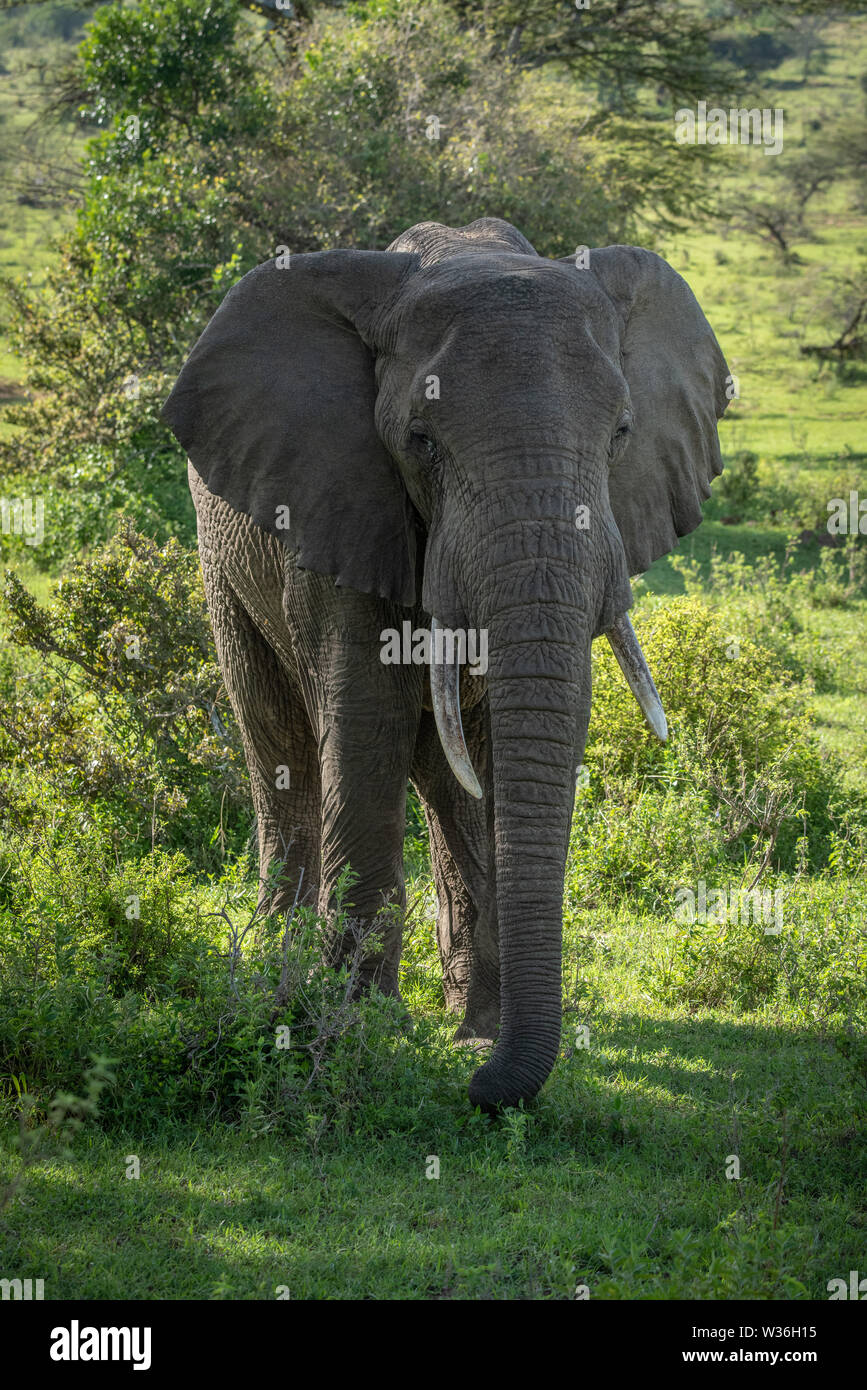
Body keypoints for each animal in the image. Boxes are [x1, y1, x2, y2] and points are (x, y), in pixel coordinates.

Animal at [162, 217, 730, 1112]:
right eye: (419, 443)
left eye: (621, 434)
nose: (481, 1093)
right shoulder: (339, 494)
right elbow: (365, 724)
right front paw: (357, 1031)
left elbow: (508, 737)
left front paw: (470, 1041)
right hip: (222, 562)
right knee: (279, 750)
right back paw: (277, 982)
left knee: (448, 781)